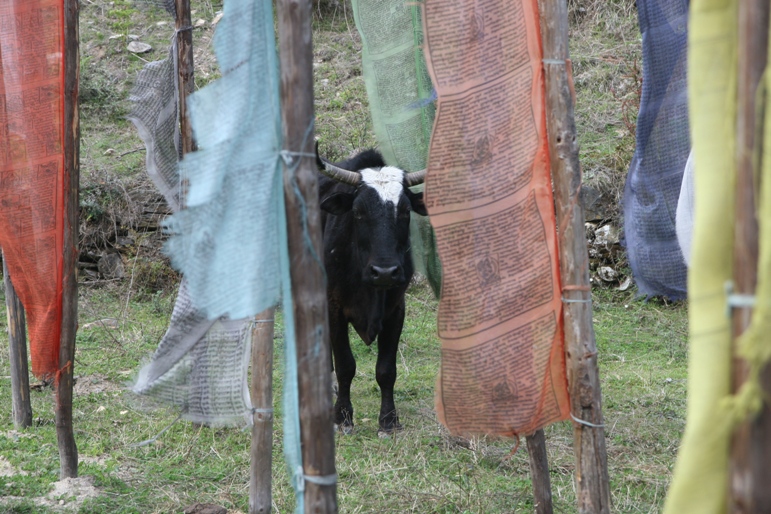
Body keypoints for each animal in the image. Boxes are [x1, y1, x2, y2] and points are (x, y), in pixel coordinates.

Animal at [316, 144, 427, 434]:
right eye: (357, 212)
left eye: (405, 211)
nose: (385, 272)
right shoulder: (334, 307)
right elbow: (346, 365)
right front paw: (343, 417)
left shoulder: (396, 309)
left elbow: (386, 369)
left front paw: (388, 421)